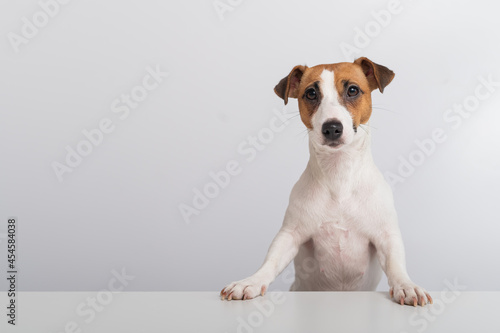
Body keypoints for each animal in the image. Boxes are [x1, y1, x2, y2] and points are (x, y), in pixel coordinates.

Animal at [221, 57, 432, 306]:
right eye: (311, 93)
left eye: (353, 90)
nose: (332, 127)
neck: (338, 175)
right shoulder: (290, 235)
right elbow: (271, 260)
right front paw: (251, 282)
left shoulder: (386, 236)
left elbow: (395, 265)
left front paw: (407, 287)